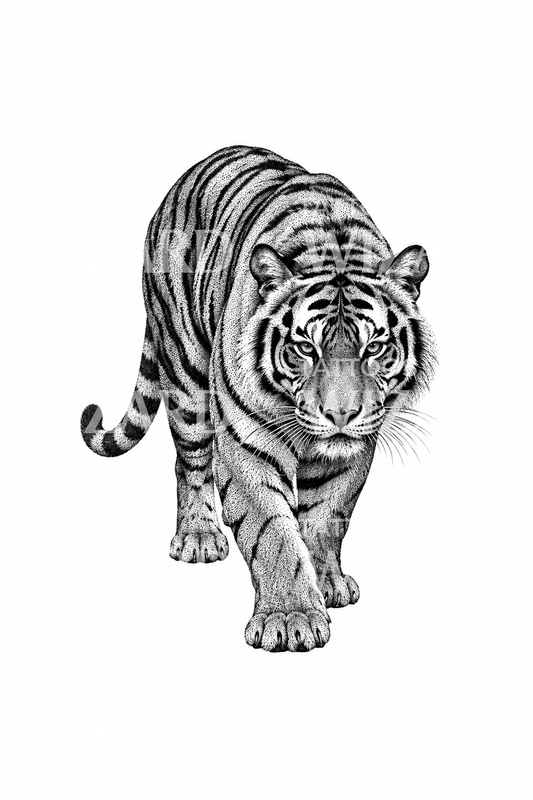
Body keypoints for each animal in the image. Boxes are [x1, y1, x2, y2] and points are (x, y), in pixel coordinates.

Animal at [81, 145, 436, 652]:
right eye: (306, 348)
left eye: (374, 348)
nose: (341, 414)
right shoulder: (249, 443)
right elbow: (273, 530)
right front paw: (290, 618)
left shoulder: (352, 452)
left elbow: (326, 518)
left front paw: (328, 584)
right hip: (186, 372)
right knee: (190, 462)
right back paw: (198, 537)